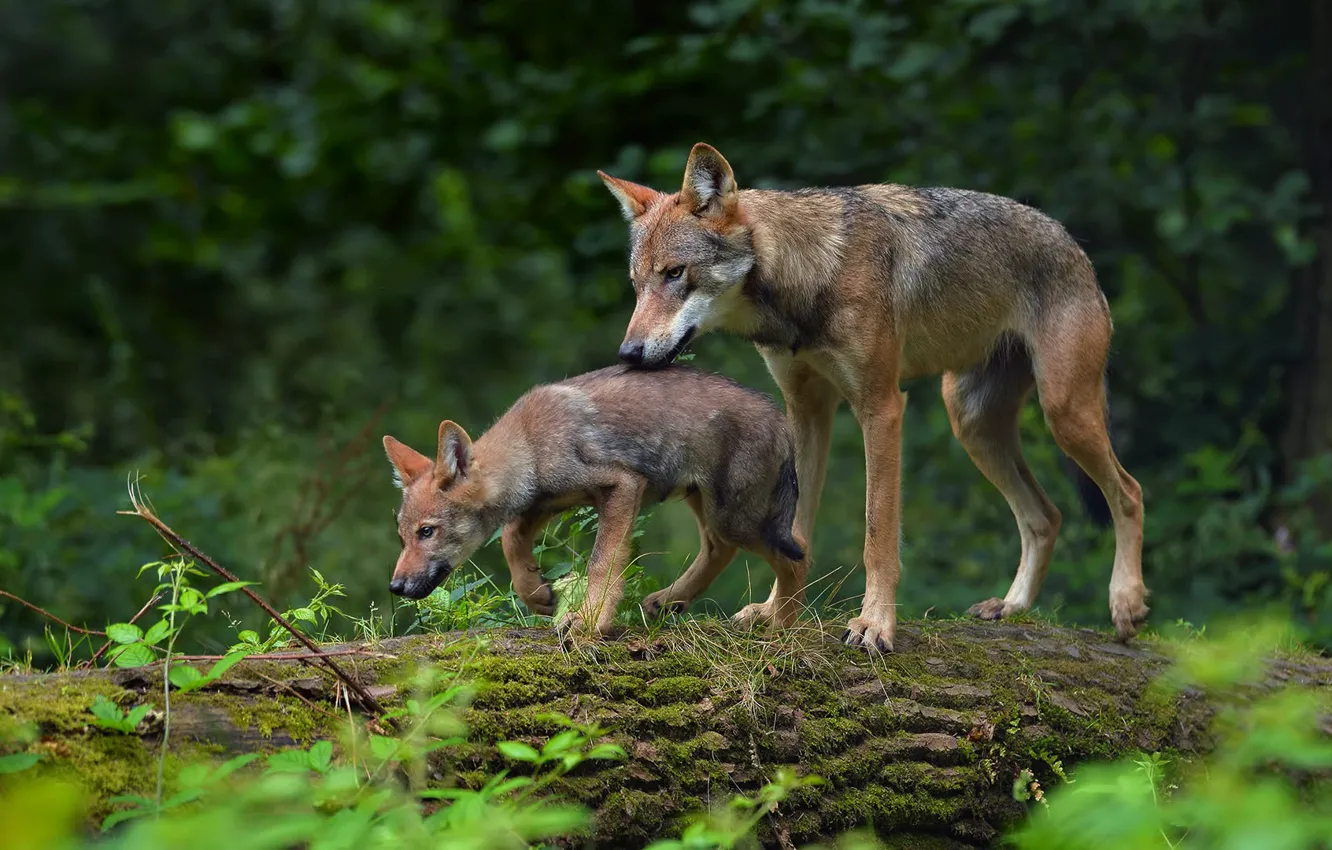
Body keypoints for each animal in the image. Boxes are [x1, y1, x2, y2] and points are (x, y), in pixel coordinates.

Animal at [381, 364, 809, 636]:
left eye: (427, 532)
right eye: (402, 537)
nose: (395, 587)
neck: (530, 445)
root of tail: (782, 419)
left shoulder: (621, 486)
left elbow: (603, 563)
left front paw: (591, 621)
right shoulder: (547, 502)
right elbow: (511, 540)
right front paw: (537, 593)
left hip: (737, 519)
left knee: (797, 554)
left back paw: (780, 624)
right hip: (706, 506)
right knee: (722, 551)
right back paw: (671, 602)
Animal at [597, 143, 1148, 652]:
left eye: (675, 273)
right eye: (636, 284)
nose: (627, 353)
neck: (809, 279)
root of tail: (1072, 242)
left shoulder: (880, 408)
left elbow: (877, 534)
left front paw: (874, 625)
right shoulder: (807, 412)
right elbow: (795, 532)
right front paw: (776, 613)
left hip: (1062, 412)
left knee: (1128, 491)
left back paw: (1125, 604)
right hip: (971, 423)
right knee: (1045, 517)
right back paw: (1012, 606)